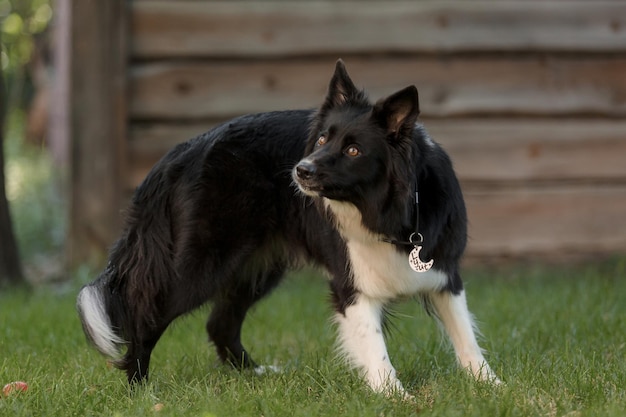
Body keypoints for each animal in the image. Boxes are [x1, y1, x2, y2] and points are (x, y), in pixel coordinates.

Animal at [77, 59, 498, 394]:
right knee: (146, 315)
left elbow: (466, 336)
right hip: (201, 264)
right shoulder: (351, 286)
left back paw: (255, 374)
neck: (392, 210)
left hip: (254, 267)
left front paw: (492, 386)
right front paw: (395, 396)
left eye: (354, 150)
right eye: (323, 138)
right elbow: (375, 347)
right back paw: (139, 388)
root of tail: (181, 153)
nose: (300, 170)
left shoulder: (444, 274)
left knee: (219, 323)